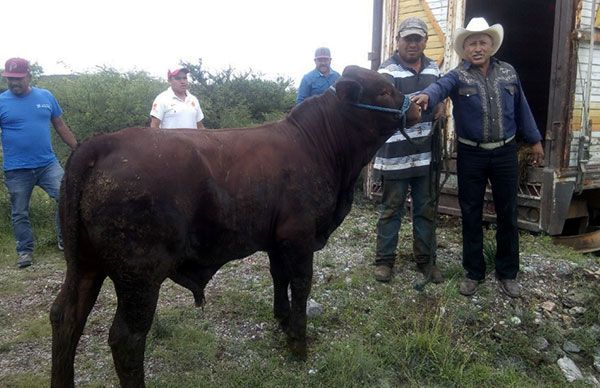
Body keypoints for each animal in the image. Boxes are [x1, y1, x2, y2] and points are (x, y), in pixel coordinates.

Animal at [50, 65, 418, 386]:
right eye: (383, 91)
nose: (416, 105)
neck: (318, 146)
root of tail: (102, 143)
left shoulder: (276, 240)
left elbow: (279, 277)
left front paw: (283, 320)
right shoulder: (299, 236)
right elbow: (301, 284)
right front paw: (298, 343)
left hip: (84, 264)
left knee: (65, 316)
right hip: (139, 275)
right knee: (126, 338)